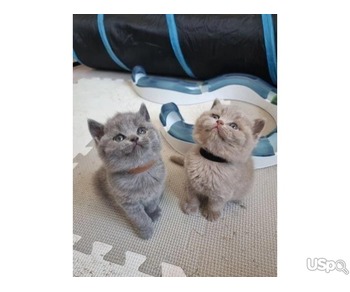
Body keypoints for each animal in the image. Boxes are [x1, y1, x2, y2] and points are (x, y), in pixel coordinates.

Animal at [87, 104, 165, 238]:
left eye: (141, 130)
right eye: (119, 138)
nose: (134, 138)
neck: (139, 171)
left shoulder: (155, 190)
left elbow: (152, 204)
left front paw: (153, 213)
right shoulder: (128, 204)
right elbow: (140, 217)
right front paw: (146, 231)